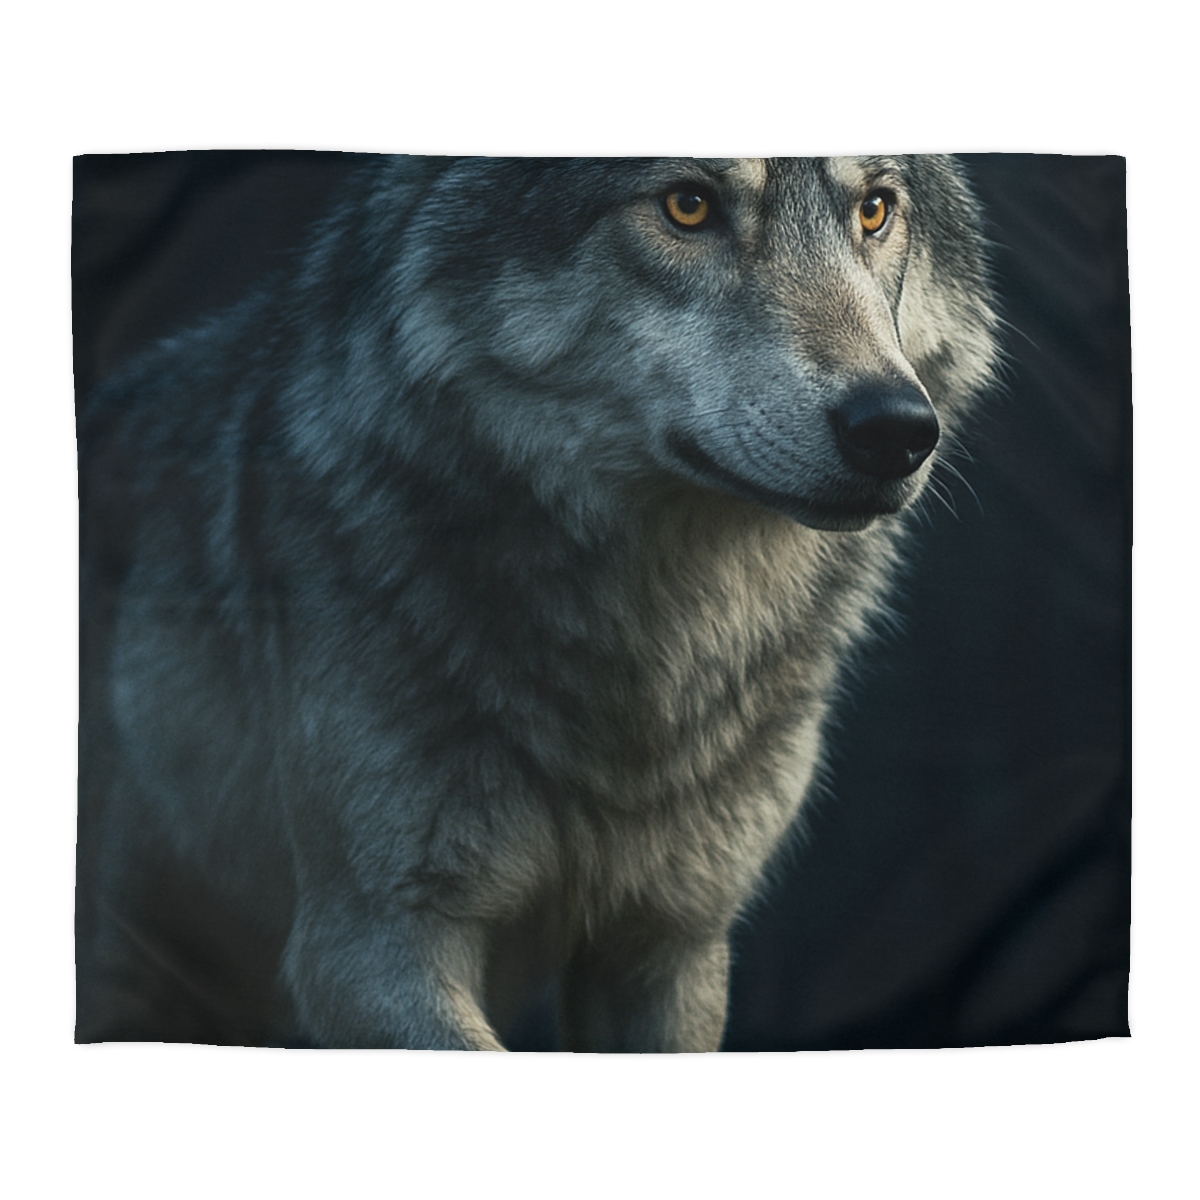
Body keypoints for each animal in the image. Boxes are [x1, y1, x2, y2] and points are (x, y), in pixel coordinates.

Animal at [77, 156, 998, 1050]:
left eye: (874, 210)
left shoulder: (669, 946)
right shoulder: (372, 942)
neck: (648, 662)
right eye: (688, 205)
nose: (895, 430)